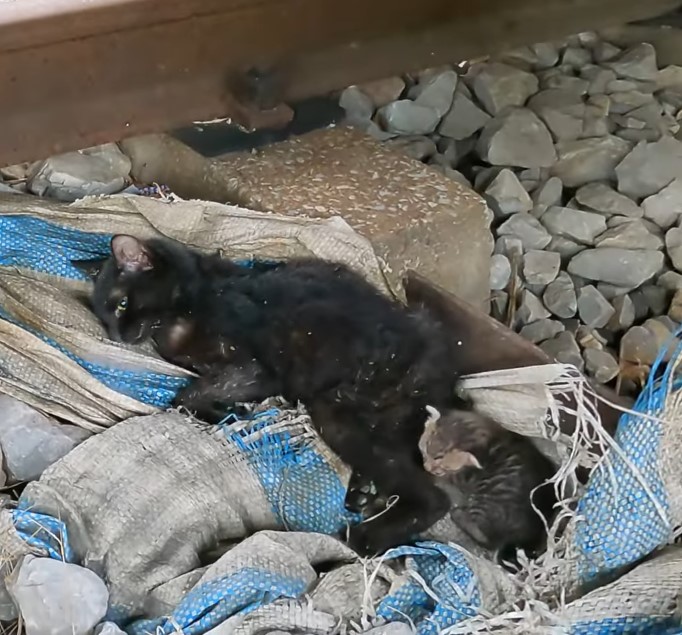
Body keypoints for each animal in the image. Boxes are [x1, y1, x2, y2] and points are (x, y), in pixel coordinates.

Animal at [74, 235, 468, 556]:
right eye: (103, 316)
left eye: (121, 304)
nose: (116, 336)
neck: (195, 295)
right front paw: (229, 409)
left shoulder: (256, 368)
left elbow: (186, 395)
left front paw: (225, 412)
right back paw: (365, 494)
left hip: (335, 408)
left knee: (434, 497)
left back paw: (367, 538)